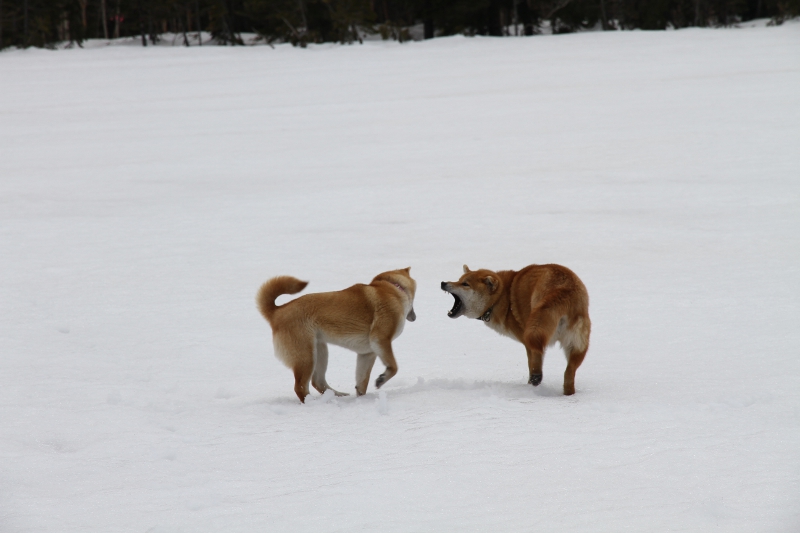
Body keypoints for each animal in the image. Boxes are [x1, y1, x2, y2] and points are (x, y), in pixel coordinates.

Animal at [256, 268, 418, 402]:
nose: (415, 317)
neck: (392, 289)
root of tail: (277, 311)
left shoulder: (367, 353)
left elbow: (362, 381)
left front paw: (362, 399)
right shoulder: (381, 339)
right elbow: (393, 367)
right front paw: (382, 379)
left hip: (320, 351)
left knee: (317, 382)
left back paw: (337, 396)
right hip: (306, 357)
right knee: (300, 387)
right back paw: (312, 403)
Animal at [440, 264, 592, 392]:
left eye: (465, 284)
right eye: (459, 280)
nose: (443, 283)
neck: (502, 298)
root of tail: (564, 289)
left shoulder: (527, 343)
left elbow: (532, 364)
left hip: (536, 334)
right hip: (577, 346)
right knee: (568, 374)